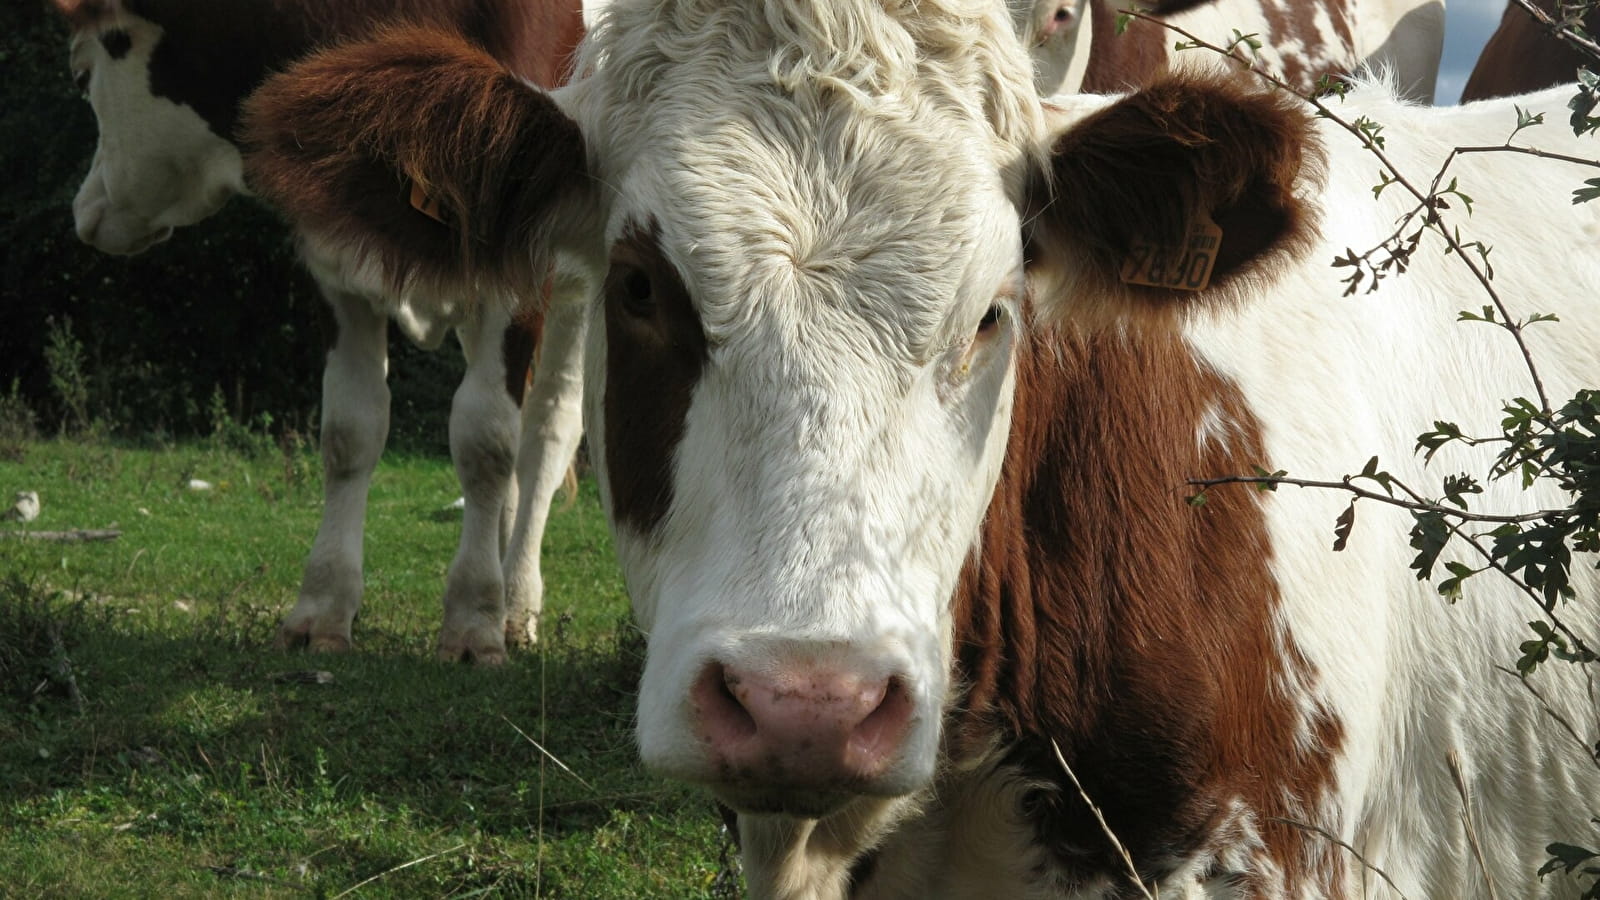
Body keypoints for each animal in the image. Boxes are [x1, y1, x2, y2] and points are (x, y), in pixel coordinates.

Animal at [54, 0, 601, 659]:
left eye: (81, 77)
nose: (86, 210)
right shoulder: (333, 252)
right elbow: (350, 431)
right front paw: (322, 610)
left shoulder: (516, 275)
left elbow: (486, 441)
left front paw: (474, 620)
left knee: (547, 430)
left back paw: (515, 604)